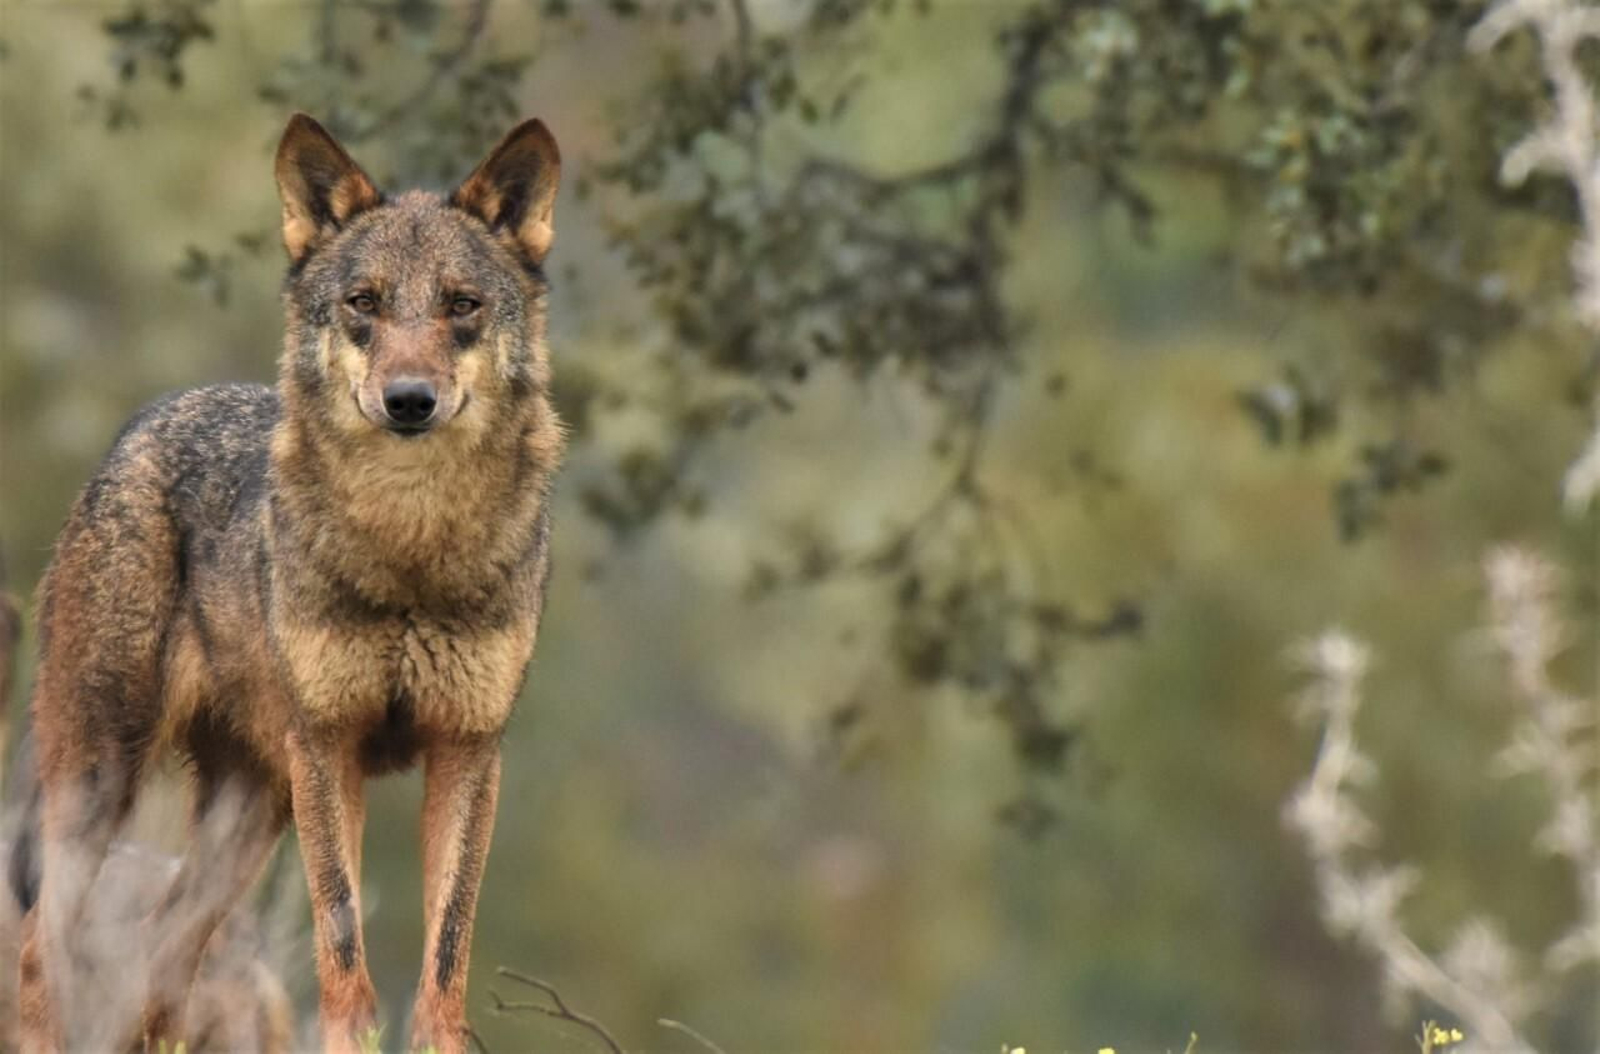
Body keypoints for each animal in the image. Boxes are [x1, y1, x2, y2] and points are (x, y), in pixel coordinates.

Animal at [16, 113, 565, 1054]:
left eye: (462, 305)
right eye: (364, 304)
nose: (408, 399)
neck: (410, 547)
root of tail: (143, 421)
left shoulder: (468, 750)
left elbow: (446, 953)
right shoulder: (327, 747)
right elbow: (342, 937)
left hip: (246, 816)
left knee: (162, 958)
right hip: (107, 775)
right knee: (39, 949)